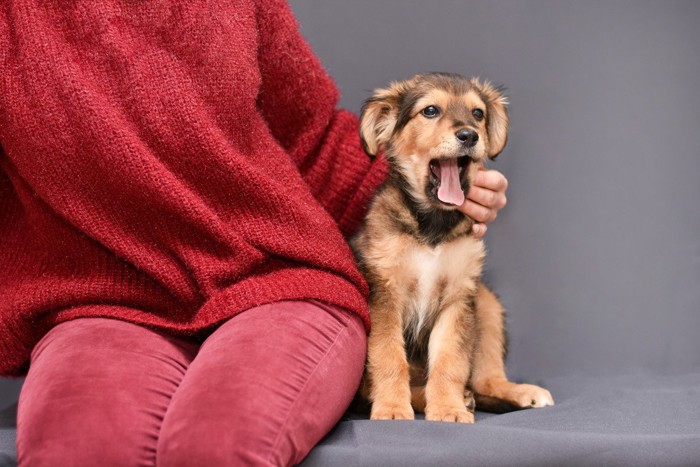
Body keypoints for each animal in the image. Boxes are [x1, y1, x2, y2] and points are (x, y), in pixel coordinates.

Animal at [352, 73, 556, 424]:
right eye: (430, 110)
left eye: (478, 114)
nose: (469, 135)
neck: (433, 225)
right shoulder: (384, 295)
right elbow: (389, 356)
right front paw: (392, 408)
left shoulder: (459, 298)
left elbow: (450, 361)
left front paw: (448, 408)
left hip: (486, 303)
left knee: (486, 377)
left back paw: (514, 393)